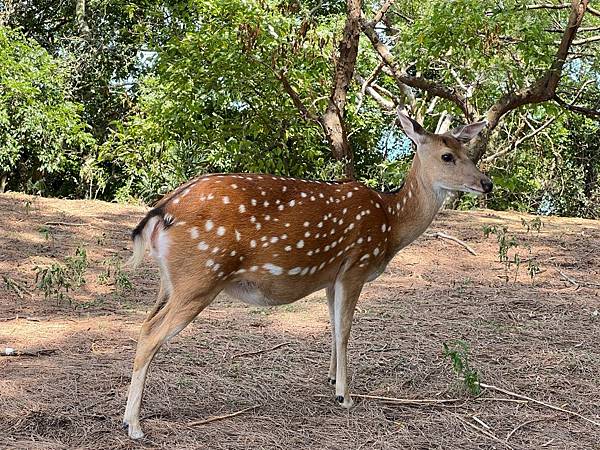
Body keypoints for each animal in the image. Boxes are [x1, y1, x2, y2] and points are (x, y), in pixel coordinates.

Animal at [122, 110, 492, 438]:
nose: (486, 183)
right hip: (200, 277)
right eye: (447, 156)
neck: (391, 223)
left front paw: (331, 379)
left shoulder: (331, 276)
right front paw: (345, 396)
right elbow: (345, 330)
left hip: (169, 282)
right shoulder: (356, 264)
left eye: (467, 151)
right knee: (152, 334)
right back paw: (134, 426)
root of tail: (160, 212)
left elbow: (333, 326)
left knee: (143, 325)